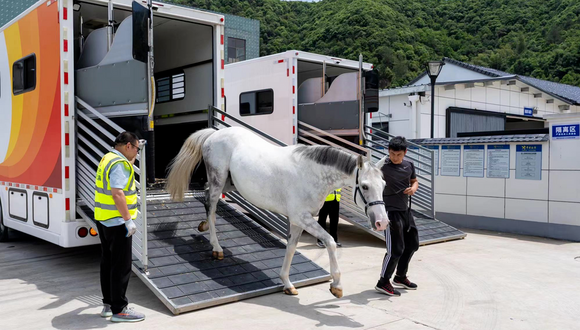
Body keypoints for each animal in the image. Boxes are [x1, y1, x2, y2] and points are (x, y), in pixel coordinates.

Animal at [165, 126, 390, 296]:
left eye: (384, 185)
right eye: (365, 186)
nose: (382, 222)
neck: (311, 172)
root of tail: (213, 134)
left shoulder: (299, 221)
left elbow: (291, 248)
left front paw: (287, 284)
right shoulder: (302, 218)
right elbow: (330, 242)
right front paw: (336, 286)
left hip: (229, 183)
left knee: (205, 196)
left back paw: (202, 227)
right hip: (218, 180)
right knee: (211, 207)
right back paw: (216, 247)